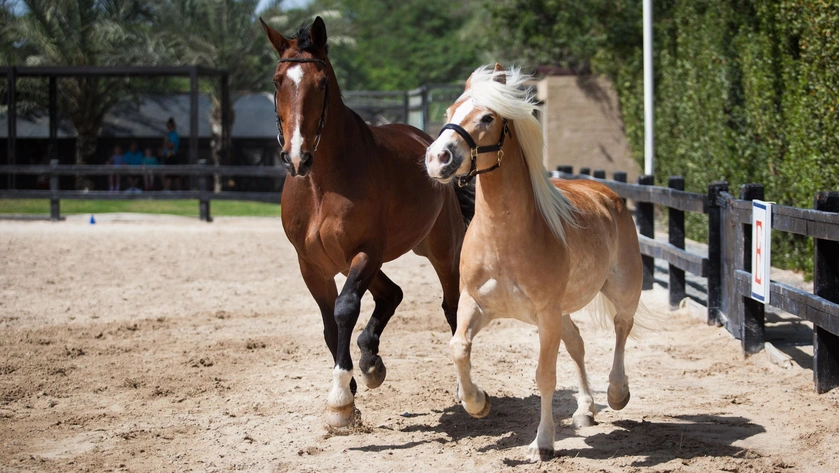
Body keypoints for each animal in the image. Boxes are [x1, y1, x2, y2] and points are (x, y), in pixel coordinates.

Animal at [260, 17, 473, 429]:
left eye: (321, 83)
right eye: (277, 81)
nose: (296, 157)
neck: (321, 183)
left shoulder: (365, 252)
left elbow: (345, 309)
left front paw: (341, 401)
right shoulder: (313, 265)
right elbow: (329, 322)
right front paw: (353, 387)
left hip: (441, 250)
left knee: (451, 307)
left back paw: (464, 389)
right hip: (353, 262)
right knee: (391, 295)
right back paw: (371, 361)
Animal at [424, 64, 648, 461]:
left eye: (487, 117)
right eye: (450, 111)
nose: (438, 159)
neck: (504, 236)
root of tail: (607, 194)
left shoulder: (545, 314)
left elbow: (545, 376)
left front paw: (542, 442)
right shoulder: (475, 304)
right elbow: (459, 348)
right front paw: (477, 402)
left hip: (621, 290)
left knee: (622, 328)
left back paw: (616, 393)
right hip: (561, 313)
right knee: (578, 344)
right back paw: (585, 409)